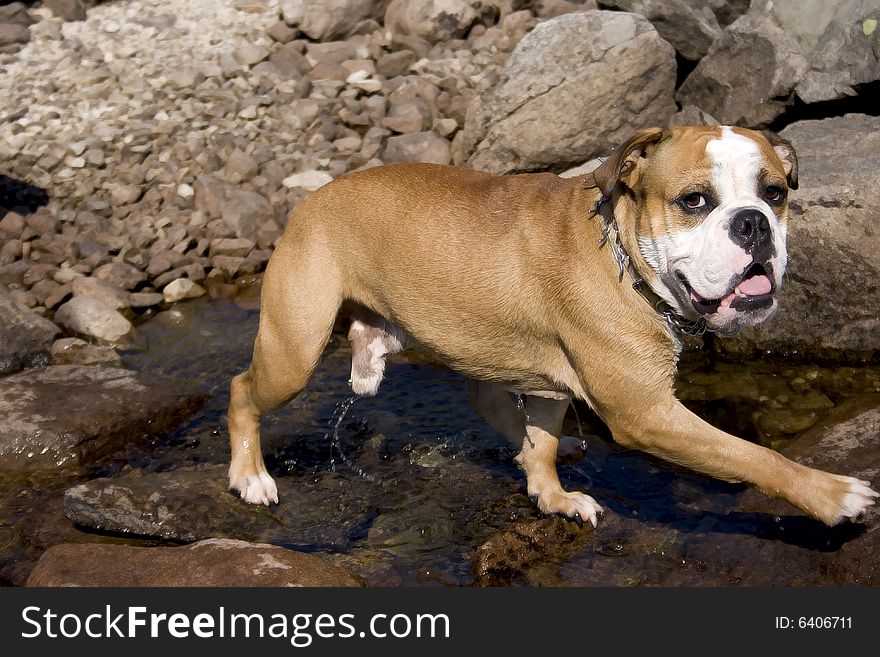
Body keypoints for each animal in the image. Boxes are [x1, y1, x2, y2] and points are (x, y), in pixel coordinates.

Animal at [225, 125, 872, 528]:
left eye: (775, 193)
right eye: (694, 201)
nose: (753, 224)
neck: (624, 256)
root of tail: (310, 200)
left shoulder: (550, 392)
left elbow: (541, 447)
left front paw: (553, 497)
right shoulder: (646, 414)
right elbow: (751, 455)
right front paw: (832, 494)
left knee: (493, 403)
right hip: (293, 351)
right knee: (241, 392)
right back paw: (250, 477)